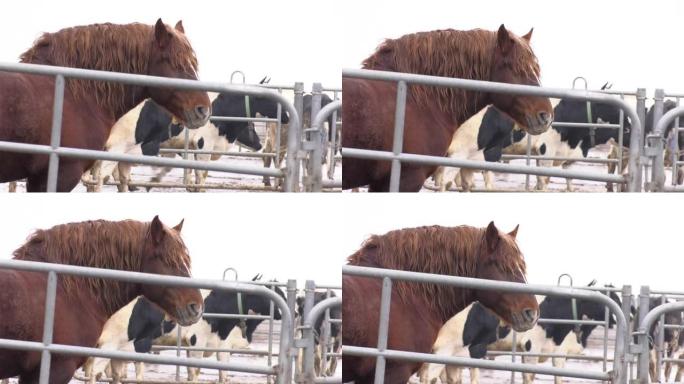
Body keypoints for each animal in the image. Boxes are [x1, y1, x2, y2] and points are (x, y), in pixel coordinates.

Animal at [420, 284, 624, 384]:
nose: (619, 318)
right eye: (602, 301)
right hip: (443, 349)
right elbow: (530, 376)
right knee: (429, 378)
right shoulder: (532, 346)